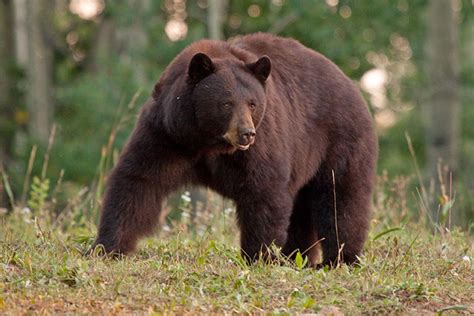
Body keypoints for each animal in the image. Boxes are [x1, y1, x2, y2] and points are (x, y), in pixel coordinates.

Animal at [94, 32, 380, 266]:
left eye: (252, 103)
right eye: (226, 103)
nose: (246, 133)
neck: (207, 142)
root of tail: (352, 85)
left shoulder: (262, 142)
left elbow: (263, 190)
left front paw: (258, 256)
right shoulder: (167, 135)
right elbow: (139, 180)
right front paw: (107, 247)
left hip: (338, 140)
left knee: (340, 196)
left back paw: (339, 259)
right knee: (302, 206)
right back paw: (296, 256)